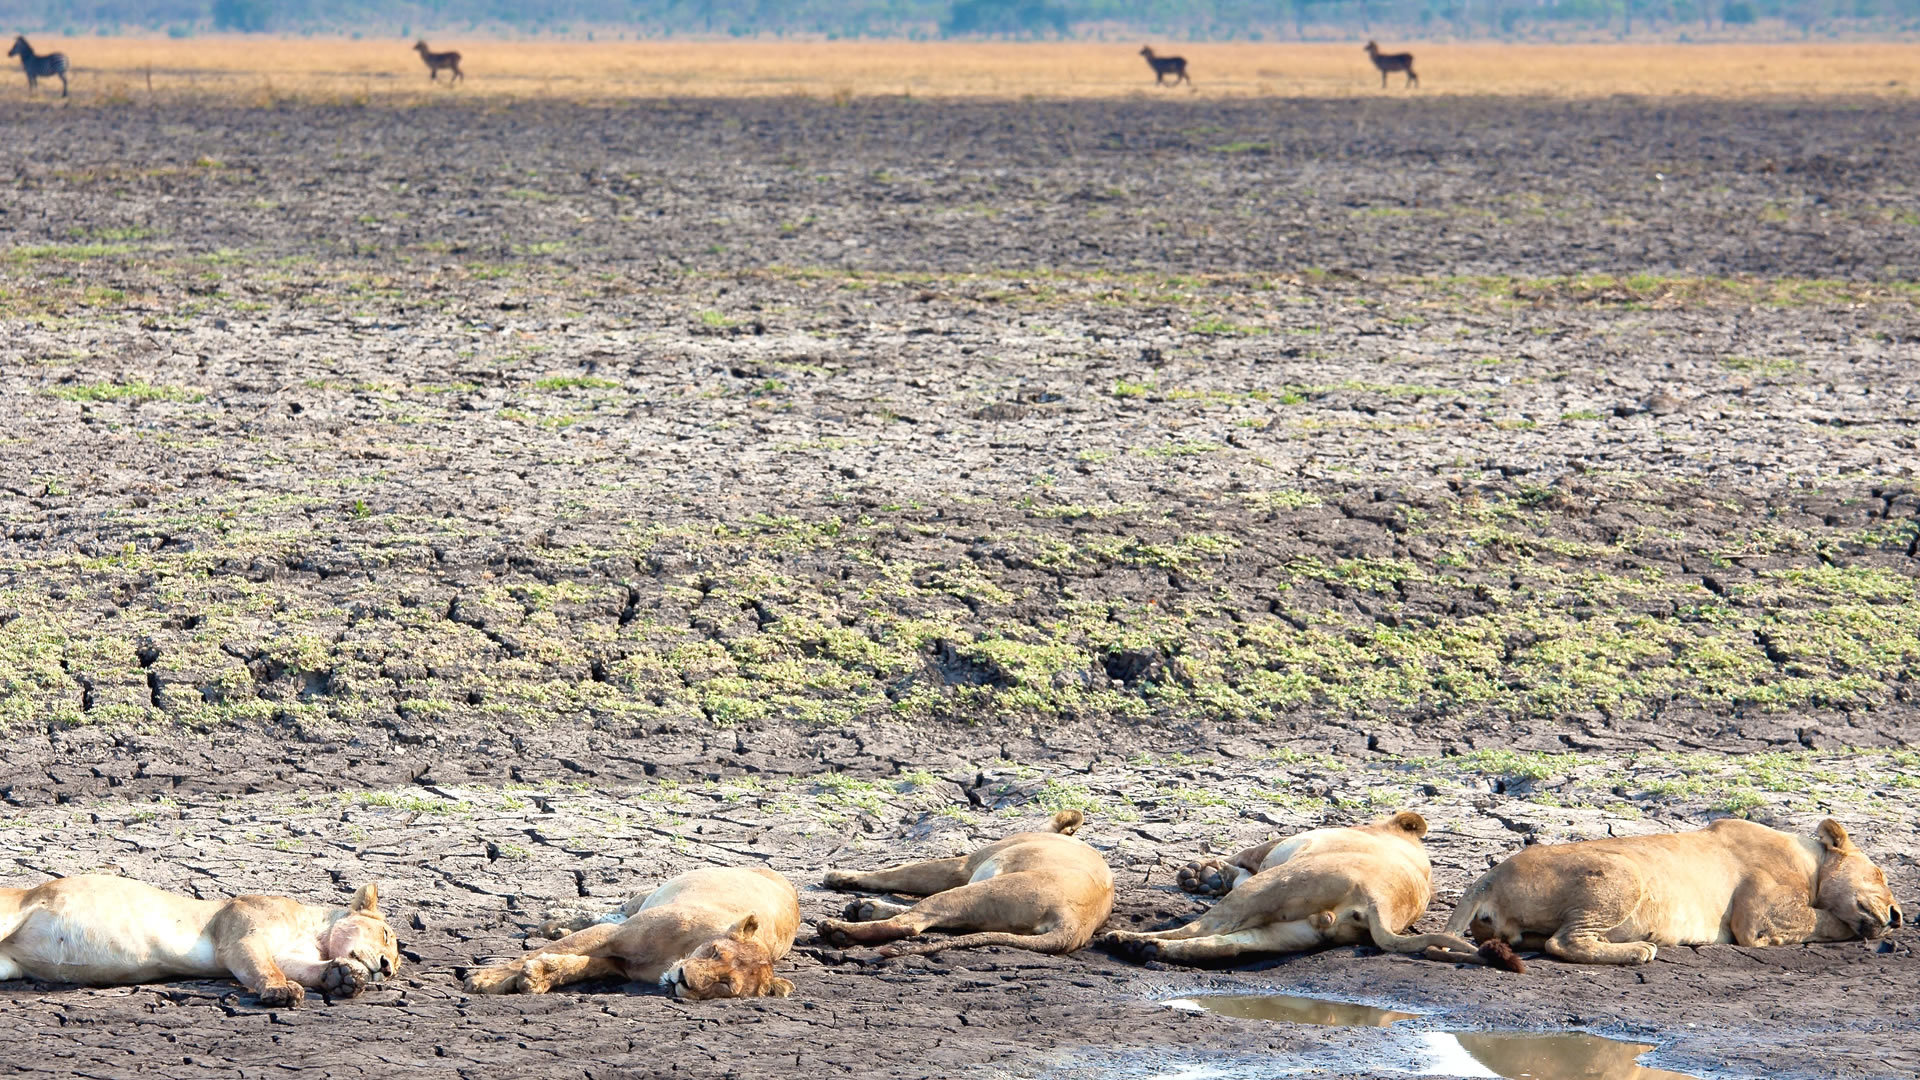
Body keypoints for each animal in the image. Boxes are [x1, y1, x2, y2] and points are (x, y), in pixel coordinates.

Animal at [0, 874, 397, 1006]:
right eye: (385, 935)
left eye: (396, 961)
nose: (387, 968)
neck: (314, 933)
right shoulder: (241, 936)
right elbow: (264, 969)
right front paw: (280, 992)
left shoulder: (287, 953)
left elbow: (300, 968)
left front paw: (343, 978)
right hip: (11, 911)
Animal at [463, 866, 799, 999]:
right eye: (715, 952)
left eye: (725, 984)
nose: (682, 979)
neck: (677, 955)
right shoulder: (615, 934)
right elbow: (534, 954)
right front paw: (484, 979)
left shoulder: (619, 964)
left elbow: (577, 966)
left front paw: (538, 977)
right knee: (615, 909)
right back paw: (554, 920)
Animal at [818, 809, 1113, 956]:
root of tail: (1075, 920)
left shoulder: (964, 864)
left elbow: (900, 871)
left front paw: (839, 875)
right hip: (982, 911)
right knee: (926, 915)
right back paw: (863, 911)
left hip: (983, 890)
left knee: (910, 923)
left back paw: (837, 929)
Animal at [1103, 811, 1488, 964]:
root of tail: (1379, 903)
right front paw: (1206, 877)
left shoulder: (1280, 847)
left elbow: (1246, 854)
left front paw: (1201, 874)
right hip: (1291, 931)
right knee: (1219, 945)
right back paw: (1146, 949)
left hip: (1272, 885)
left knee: (1199, 928)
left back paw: (1128, 940)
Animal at [1423, 817, 1903, 967]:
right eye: (1880, 873)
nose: (1899, 916)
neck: (1812, 862)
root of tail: (1489, 874)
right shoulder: (1758, 920)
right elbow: (1824, 918)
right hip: (1625, 874)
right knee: (1565, 942)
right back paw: (1638, 951)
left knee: (1548, 940)